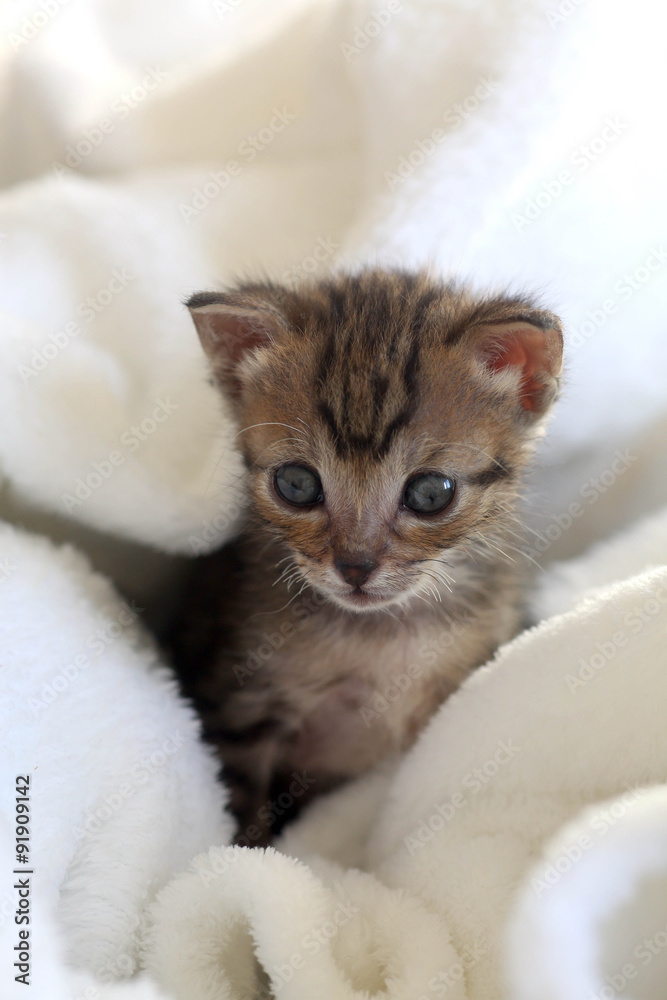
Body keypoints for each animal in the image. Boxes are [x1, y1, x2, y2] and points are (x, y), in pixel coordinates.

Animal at [172, 268, 564, 844]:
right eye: (296, 484)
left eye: (430, 493)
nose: (355, 567)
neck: (380, 636)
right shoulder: (241, 703)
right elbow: (243, 808)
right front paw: (243, 855)